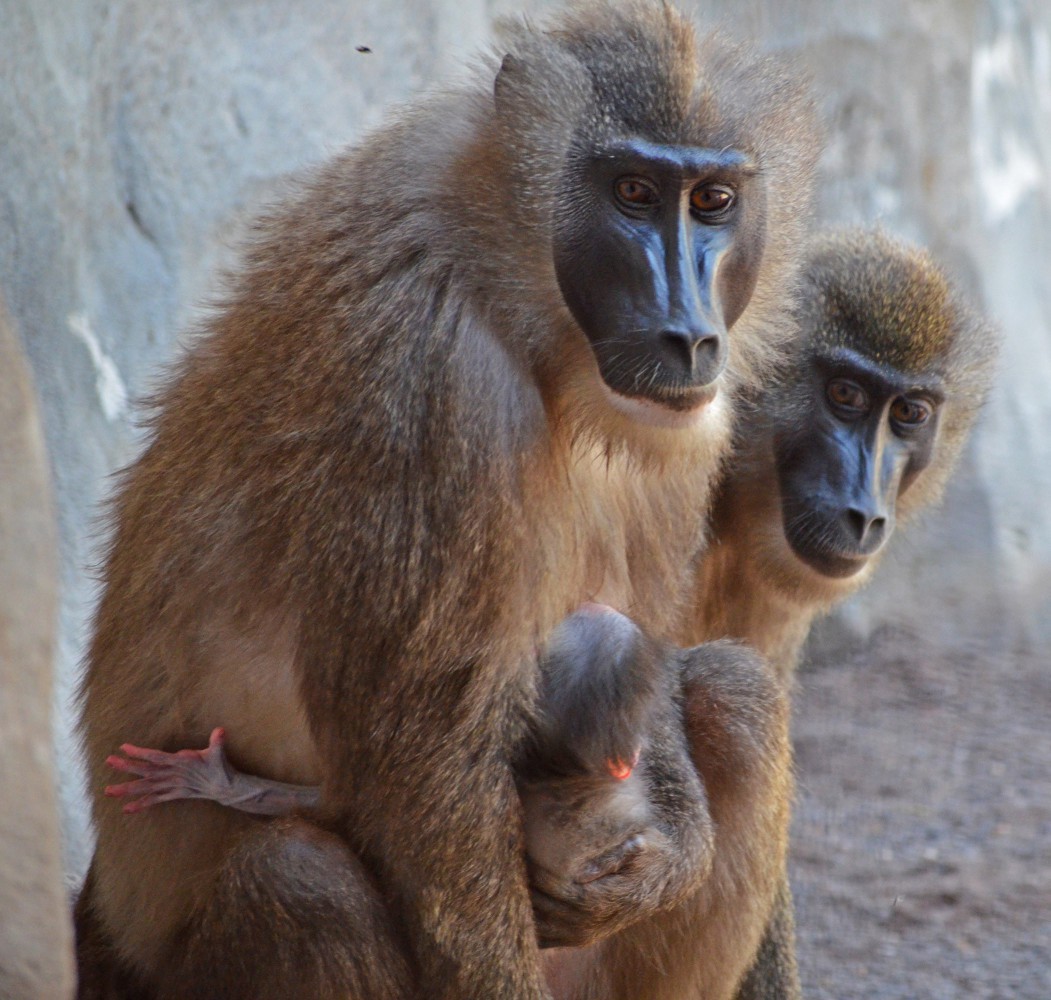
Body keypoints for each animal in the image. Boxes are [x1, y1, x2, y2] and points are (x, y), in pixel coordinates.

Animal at [77, 3, 815, 996]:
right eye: (630, 191)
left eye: (712, 201)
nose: (689, 333)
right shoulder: (428, 380)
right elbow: (423, 775)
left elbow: (646, 653)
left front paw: (674, 854)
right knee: (300, 880)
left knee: (736, 697)